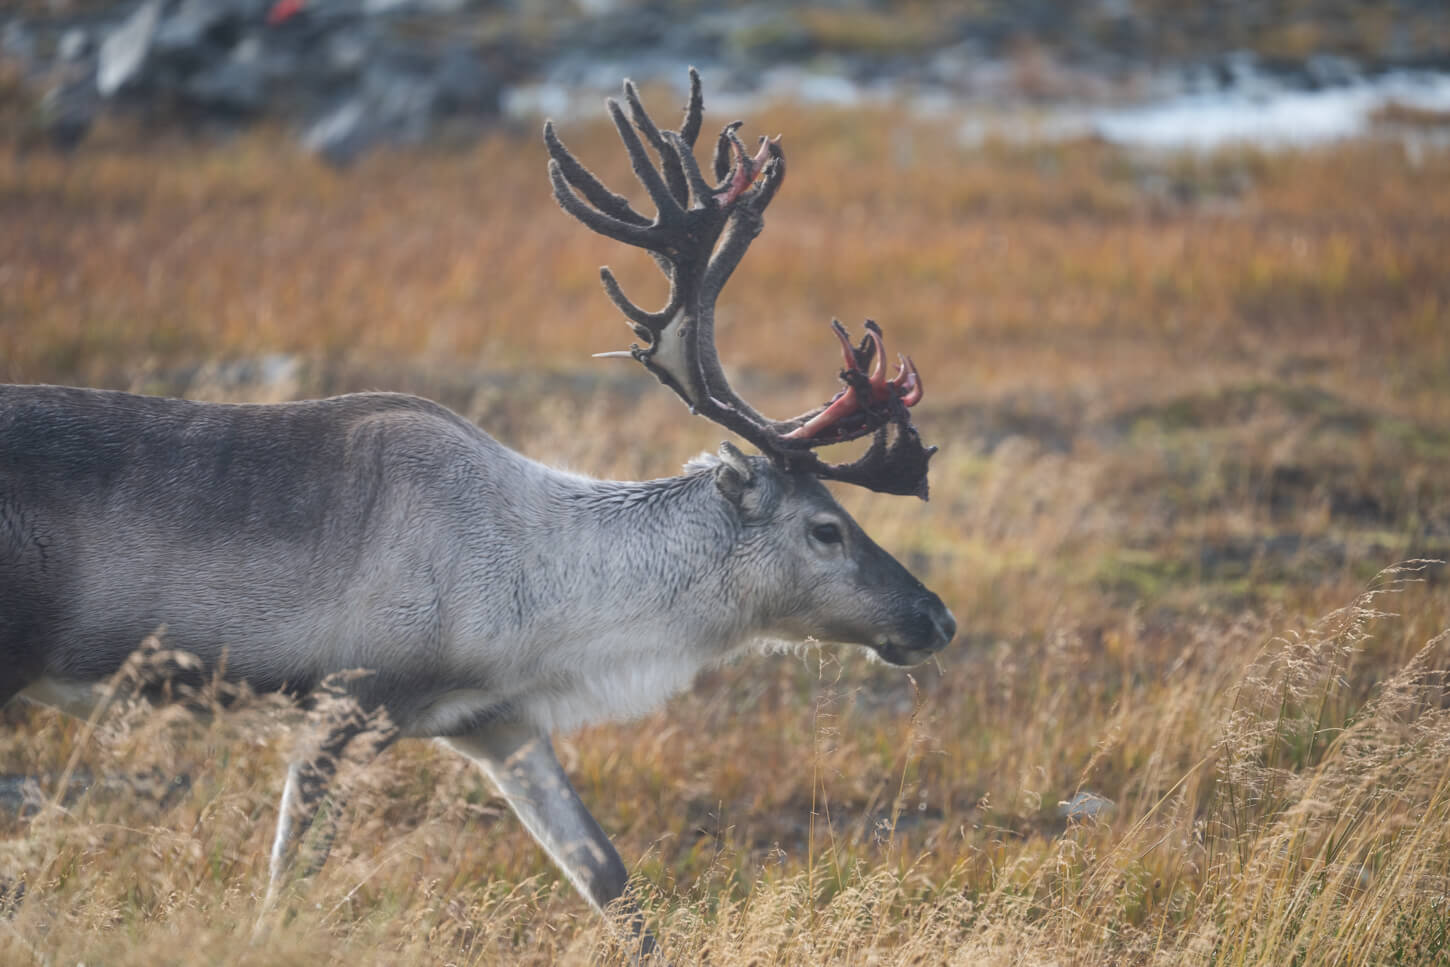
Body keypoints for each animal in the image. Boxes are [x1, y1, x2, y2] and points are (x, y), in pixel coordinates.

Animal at [0, 70, 955, 957]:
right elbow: (287, 885)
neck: (541, 589)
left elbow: (609, 879)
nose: (938, 617)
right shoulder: (347, 704)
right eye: (825, 528)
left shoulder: (501, 723)